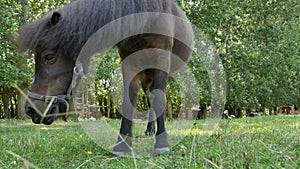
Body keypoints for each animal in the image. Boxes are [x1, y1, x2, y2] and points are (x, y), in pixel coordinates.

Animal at [17, 0, 193, 156]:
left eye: (49, 57)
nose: (30, 110)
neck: (148, 17)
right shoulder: (129, 62)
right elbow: (128, 102)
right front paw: (122, 146)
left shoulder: (162, 60)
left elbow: (160, 101)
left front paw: (162, 144)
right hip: (146, 78)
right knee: (150, 100)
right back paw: (149, 130)